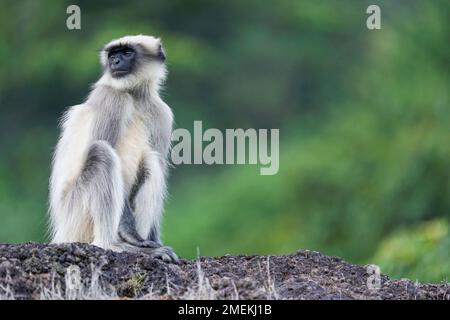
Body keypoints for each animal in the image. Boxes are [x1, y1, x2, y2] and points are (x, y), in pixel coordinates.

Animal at [47, 35, 178, 262]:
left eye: (126, 53)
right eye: (112, 55)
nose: (115, 62)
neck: (134, 94)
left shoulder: (162, 113)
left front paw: (153, 240)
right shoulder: (111, 96)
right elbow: (100, 143)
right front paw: (131, 236)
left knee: (152, 161)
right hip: (74, 214)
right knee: (101, 153)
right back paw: (112, 245)